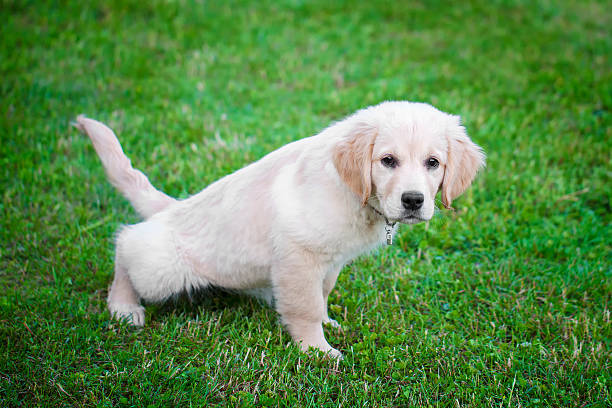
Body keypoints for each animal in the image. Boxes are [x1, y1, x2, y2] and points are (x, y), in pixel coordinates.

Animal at [76, 101, 486, 356]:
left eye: (433, 163)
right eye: (388, 161)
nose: (414, 200)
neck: (354, 193)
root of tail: (171, 209)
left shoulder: (329, 260)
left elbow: (322, 294)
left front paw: (328, 323)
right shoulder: (298, 255)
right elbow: (305, 305)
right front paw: (317, 351)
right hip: (164, 268)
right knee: (127, 244)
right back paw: (124, 307)